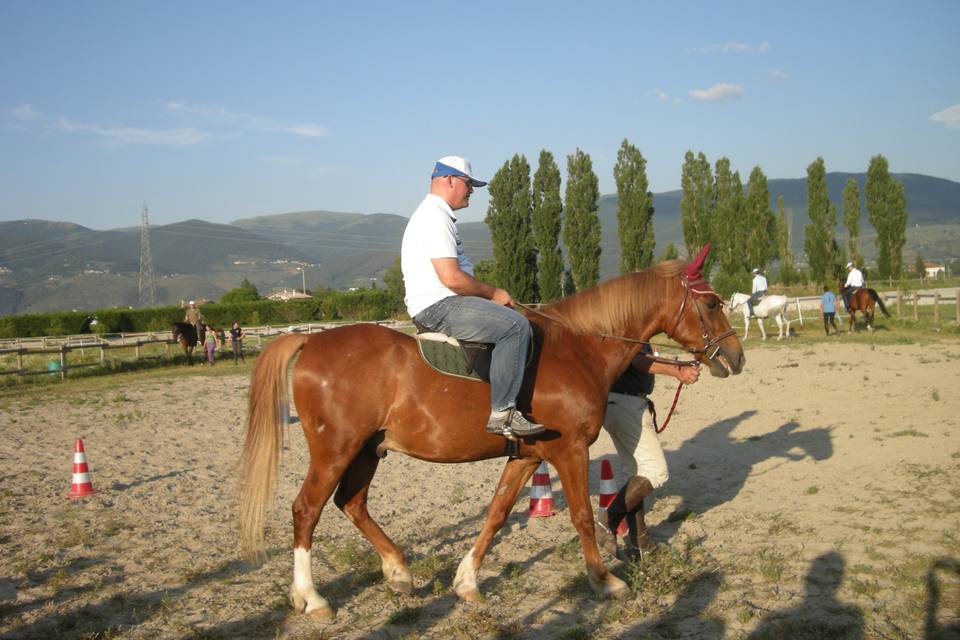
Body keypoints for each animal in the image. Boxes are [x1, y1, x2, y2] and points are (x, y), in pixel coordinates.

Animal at [236, 245, 748, 620]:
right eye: (710, 303)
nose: (736, 357)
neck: (576, 348)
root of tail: (312, 340)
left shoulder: (527, 456)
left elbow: (497, 514)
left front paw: (467, 581)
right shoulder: (569, 451)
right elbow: (582, 517)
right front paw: (604, 580)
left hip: (367, 450)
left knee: (352, 503)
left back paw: (398, 571)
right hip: (335, 450)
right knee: (307, 511)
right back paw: (312, 598)